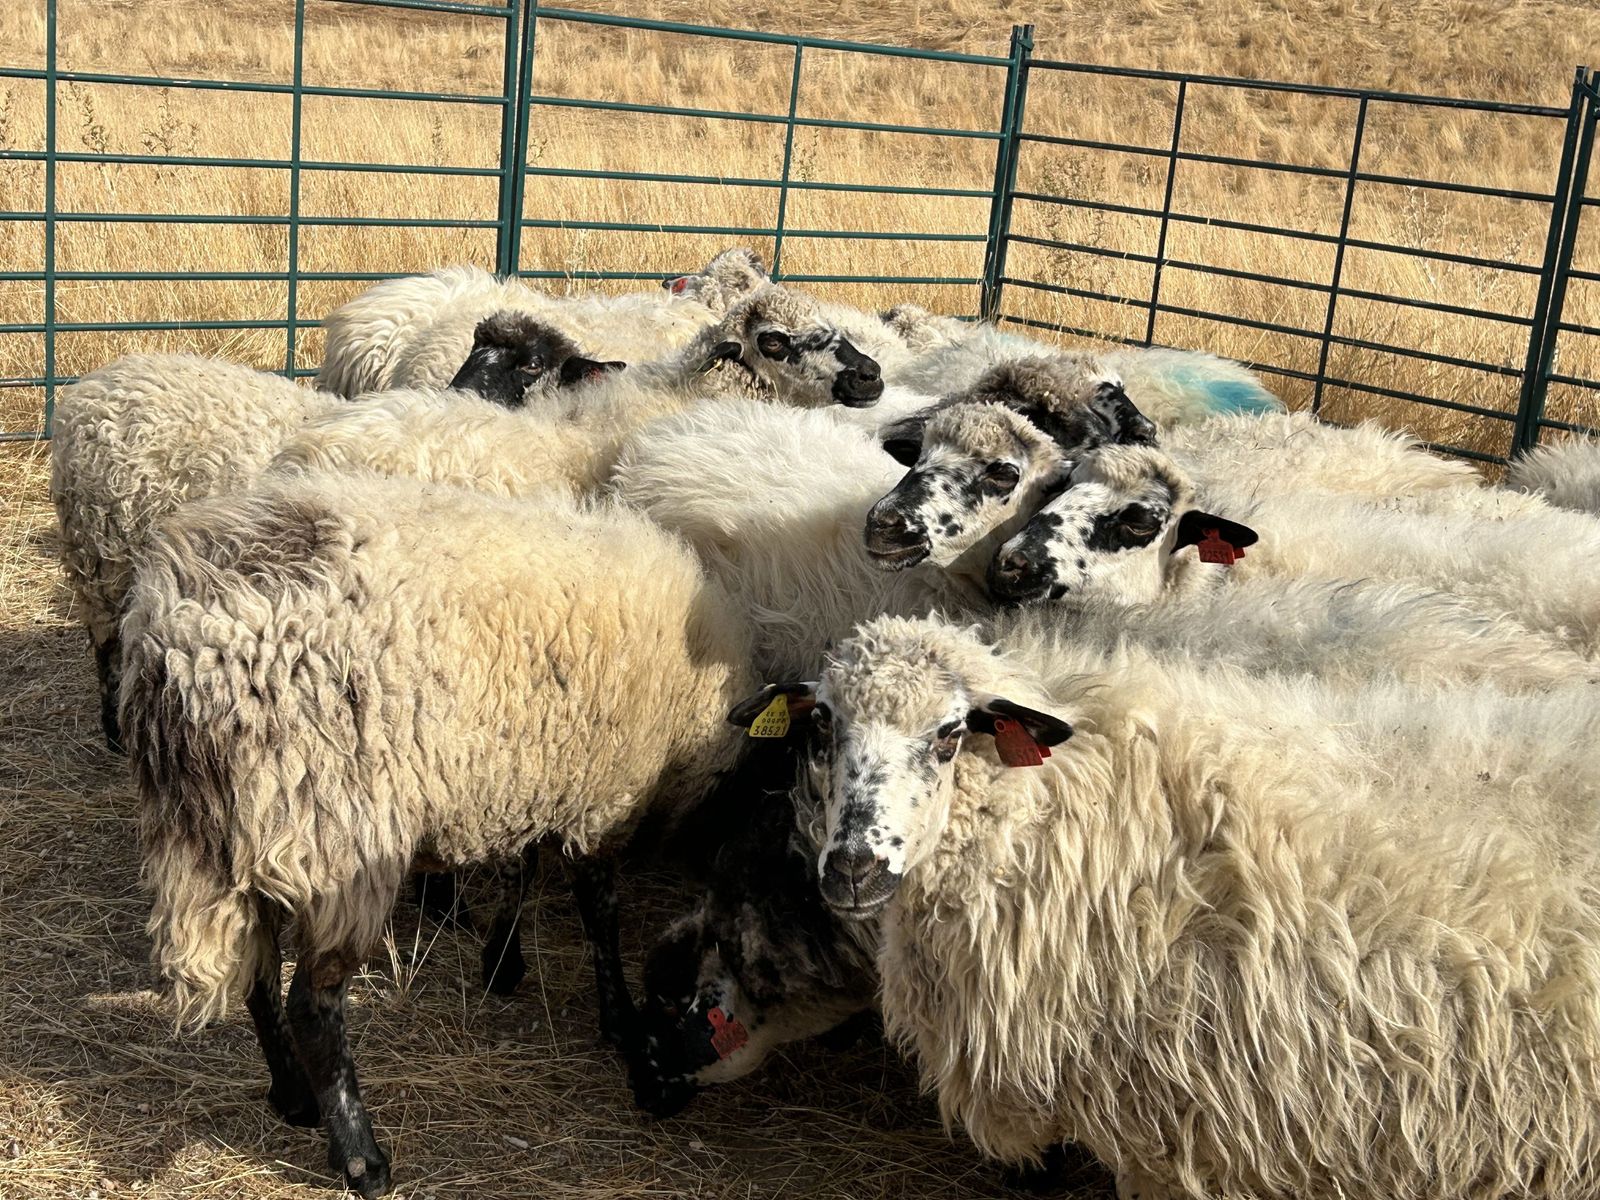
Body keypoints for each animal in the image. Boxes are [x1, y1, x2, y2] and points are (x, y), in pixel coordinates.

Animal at [50, 314, 596, 752]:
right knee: (108, 647)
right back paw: (116, 736)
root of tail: (90, 393)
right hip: (107, 552)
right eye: (476, 349)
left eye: (533, 363)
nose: (459, 395)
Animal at [122, 470, 757, 1198]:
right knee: (313, 1003)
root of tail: (181, 644)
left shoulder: (522, 776)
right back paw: (362, 1158)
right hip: (337, 828)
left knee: (256, 974)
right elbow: (600, 912)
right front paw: (617, 1016)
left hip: (244, 830)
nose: (662, 1098)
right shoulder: (603, 796)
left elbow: (521, 866)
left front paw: (503, 960)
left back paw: (293, 1097)